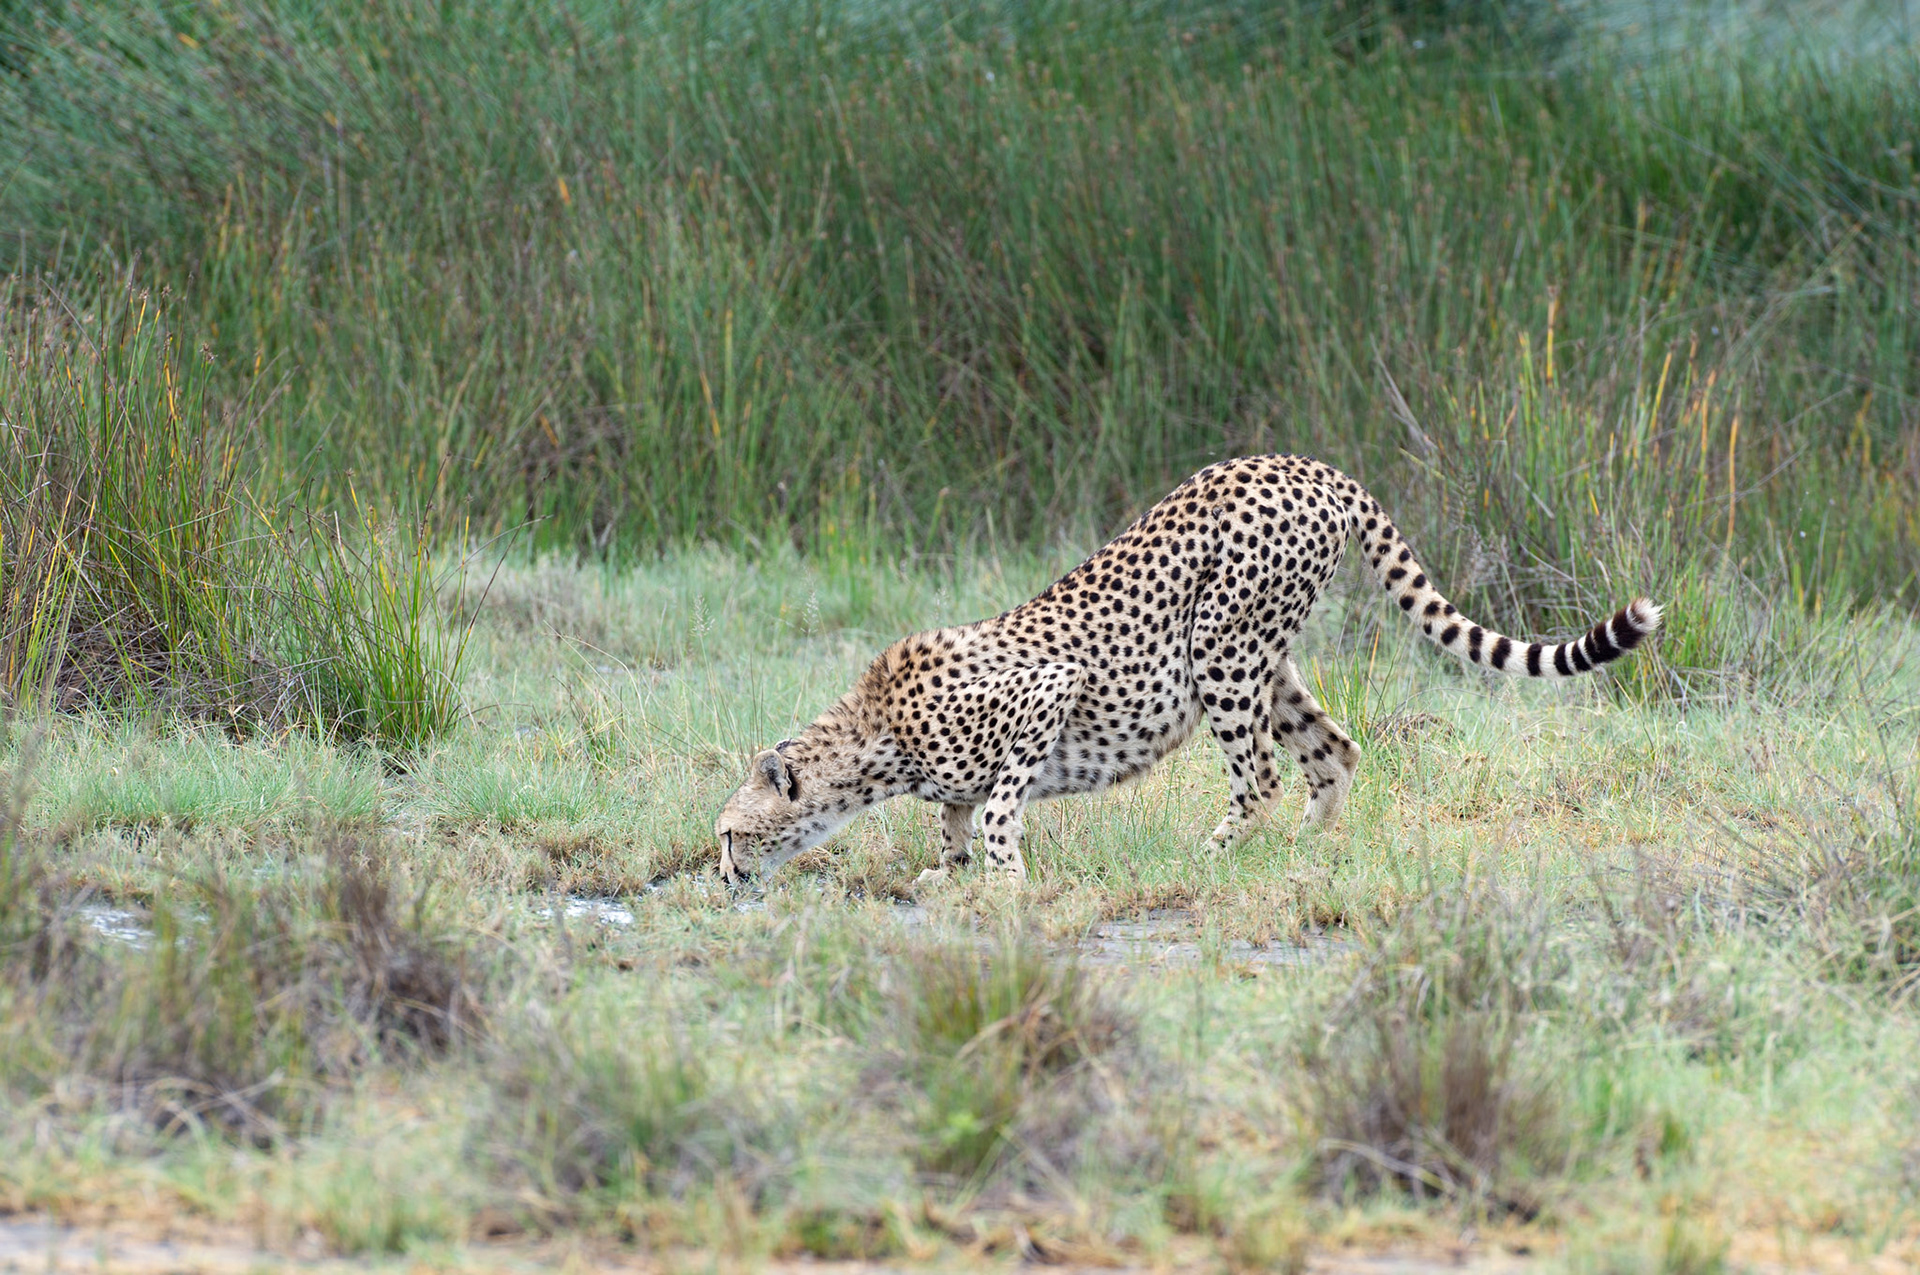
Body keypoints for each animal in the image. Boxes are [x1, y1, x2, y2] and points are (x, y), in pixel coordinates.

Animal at [715, 453, 1661, 885]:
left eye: (728, 833)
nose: (722, 876)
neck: (874, 739)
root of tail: (1304, 463)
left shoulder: (1046, 691)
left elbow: (995, 805)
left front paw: (1004, 877)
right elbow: (951, 817)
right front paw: (946, 874)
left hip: (1222, 648)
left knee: (1262, 771)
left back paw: (1214, 854)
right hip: (1262, 655)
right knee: (1336, 750)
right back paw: (1303, 851)